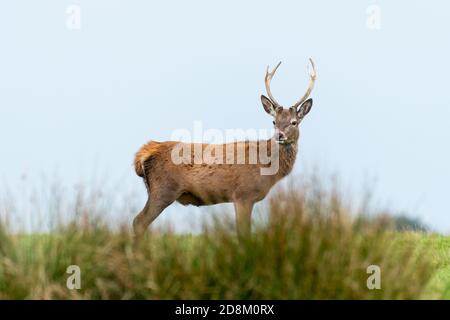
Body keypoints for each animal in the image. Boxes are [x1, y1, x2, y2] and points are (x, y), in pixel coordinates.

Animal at [134, 58, 316, 238]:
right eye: (274, 122)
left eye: (294, 122)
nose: (279, 135)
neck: (267, 169)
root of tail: (144, 153)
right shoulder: (244, 194)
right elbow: (243, 233)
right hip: (163, 189)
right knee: (139, 221)